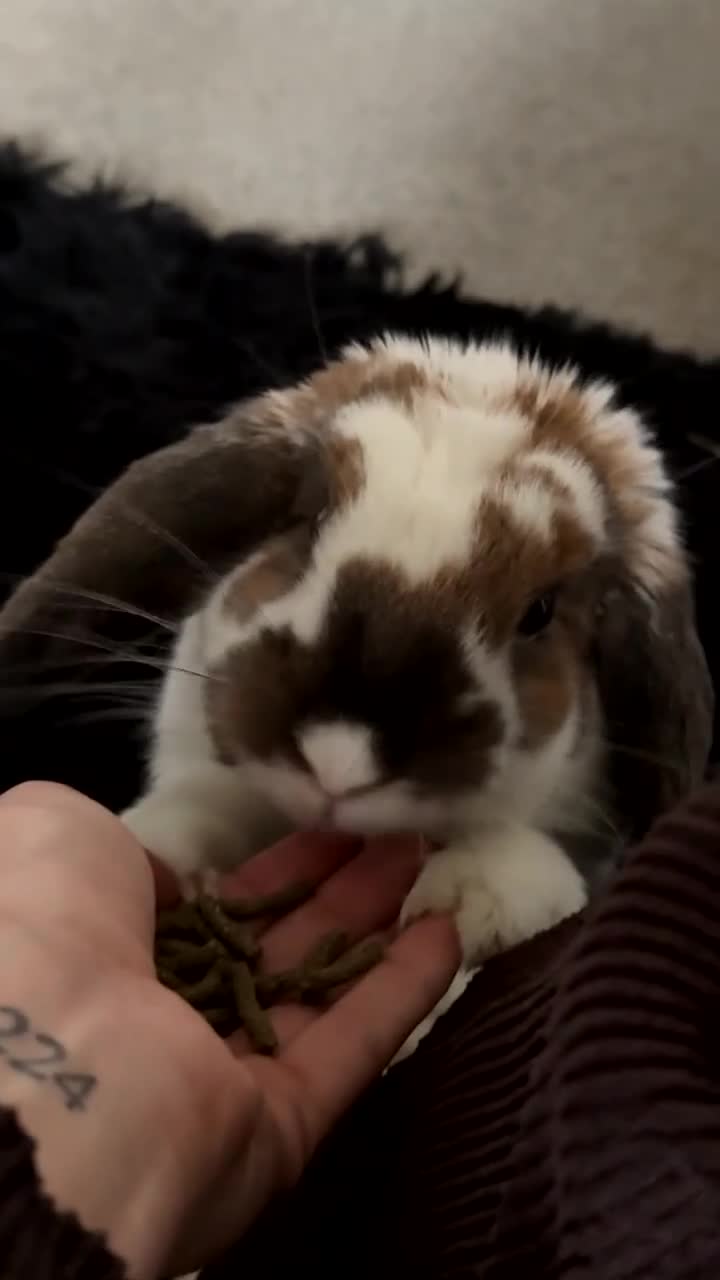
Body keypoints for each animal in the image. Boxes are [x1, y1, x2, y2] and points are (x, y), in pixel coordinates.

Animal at [0, 334, 712, 973]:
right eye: (307, 521)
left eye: (540, 611)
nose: (338, 760)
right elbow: (202, 807)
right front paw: (161, 849)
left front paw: (477, 894)